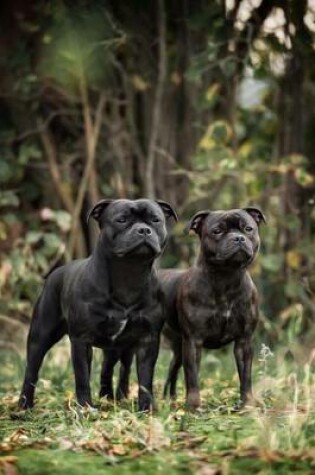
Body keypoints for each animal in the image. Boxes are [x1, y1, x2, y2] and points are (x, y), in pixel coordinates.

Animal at [19, 199, 178, 410]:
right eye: (121, 220)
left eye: (155, 220)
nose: (144, 230)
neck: (129, 274)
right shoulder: (81, 340)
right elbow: (82, 378)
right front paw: (85, 407)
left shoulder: (147, 339)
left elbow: (145, 379)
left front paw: (146, 408)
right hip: (41, 335)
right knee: (32, 369)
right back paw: (24, 405)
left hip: (117, 347)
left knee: (109, 369)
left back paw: (109, 398)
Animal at [162, 208, 266, 410]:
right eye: (217, 231)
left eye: (248, 228)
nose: (238, 238)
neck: (226, 277)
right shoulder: (193, 342)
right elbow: (192, 377)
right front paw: (194, 406)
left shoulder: (244, 341)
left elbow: (245, 376)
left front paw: (247, 405)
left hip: (178, 347)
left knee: (173, 369)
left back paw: (170, 400)